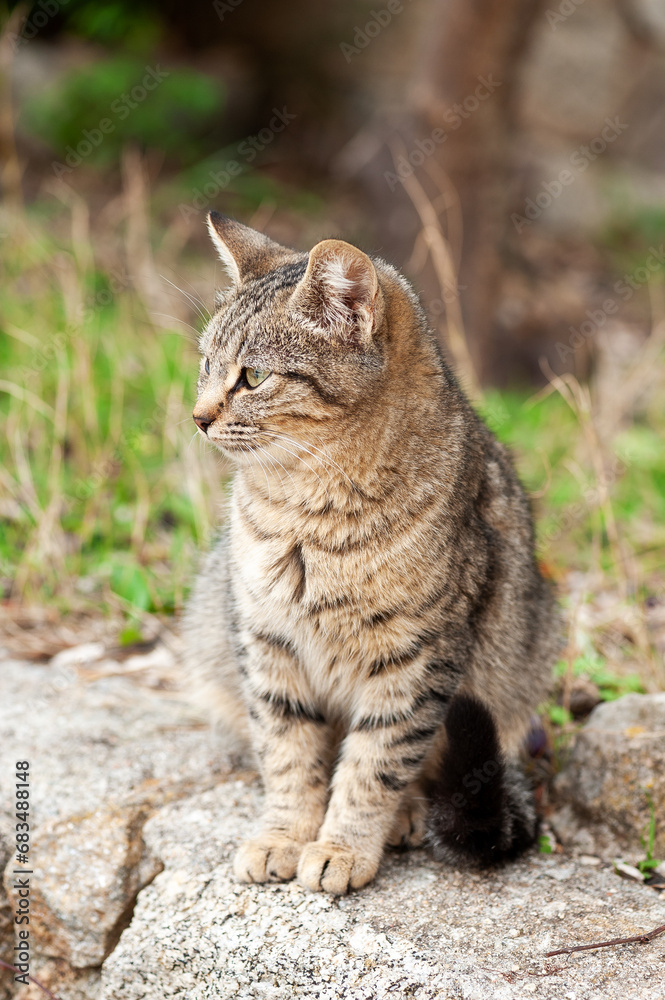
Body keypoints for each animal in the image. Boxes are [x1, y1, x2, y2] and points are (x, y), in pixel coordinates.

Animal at [180, 213, 556, 900]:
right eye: (206, 364)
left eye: (253, 377)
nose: (197, 417)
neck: (305, 516)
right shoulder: (265, 640)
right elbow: (287, 753)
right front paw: (283, 834)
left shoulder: (417, 659)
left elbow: (374, 765)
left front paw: (341, 848)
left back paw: (405, 817)